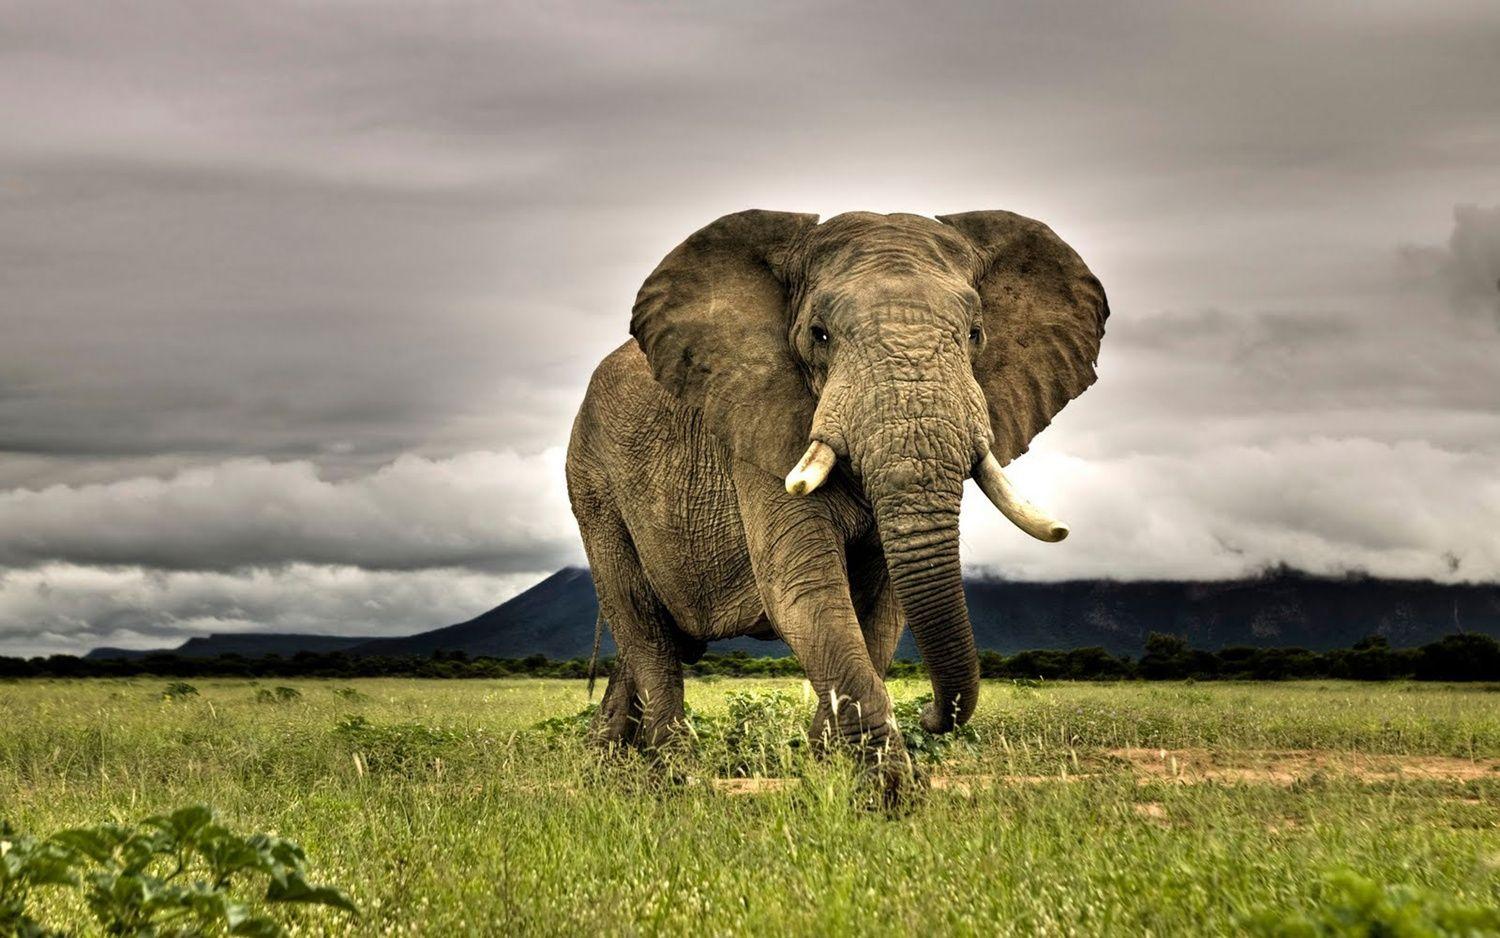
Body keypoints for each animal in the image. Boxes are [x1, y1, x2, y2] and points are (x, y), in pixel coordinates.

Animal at [565, 209, 1107, 788]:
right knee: (644, 628)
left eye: (975, 334)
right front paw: (887, 794)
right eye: (818, 335)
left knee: (645, 644)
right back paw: (675, 778)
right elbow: (806, 592)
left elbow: (882, 611)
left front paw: (828, 771)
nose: (929, 714)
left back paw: (607, 764)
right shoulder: (760, 430)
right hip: (593, 484)